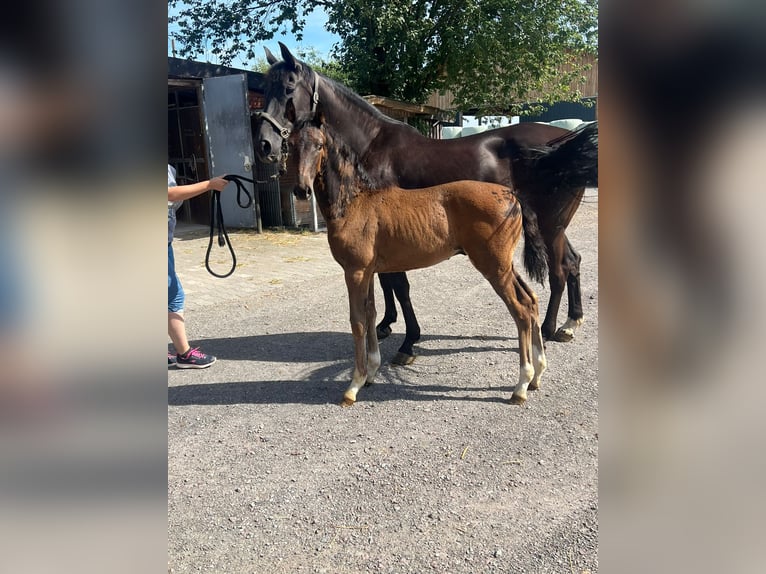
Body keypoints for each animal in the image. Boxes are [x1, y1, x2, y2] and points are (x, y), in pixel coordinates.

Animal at [258, 41, 600, 364]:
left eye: (288, 87)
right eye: (263, 89)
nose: (266, 144)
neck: (372, 145)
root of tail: (563, 144)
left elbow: (399, 285)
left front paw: (408, 342)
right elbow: (386, 281)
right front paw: (386, 323)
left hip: (549, 224)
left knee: (559, 270)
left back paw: (548, 328)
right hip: (554, 224)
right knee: (572, 261)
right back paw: (571, 323)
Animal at [292, 115, 548, 408]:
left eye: (319, 145)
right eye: (290, 143)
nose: (300, 189)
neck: (355, 201)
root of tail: (512, 196)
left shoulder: (354, 272)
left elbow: (357, 322)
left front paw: (353, 386)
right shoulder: (368, 272)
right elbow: (371, 314)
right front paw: (371, 373)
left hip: (493, 266)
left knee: (520, 310)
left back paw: (521, 386)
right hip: (505, 266)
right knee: (531, 300)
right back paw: (537, 375)